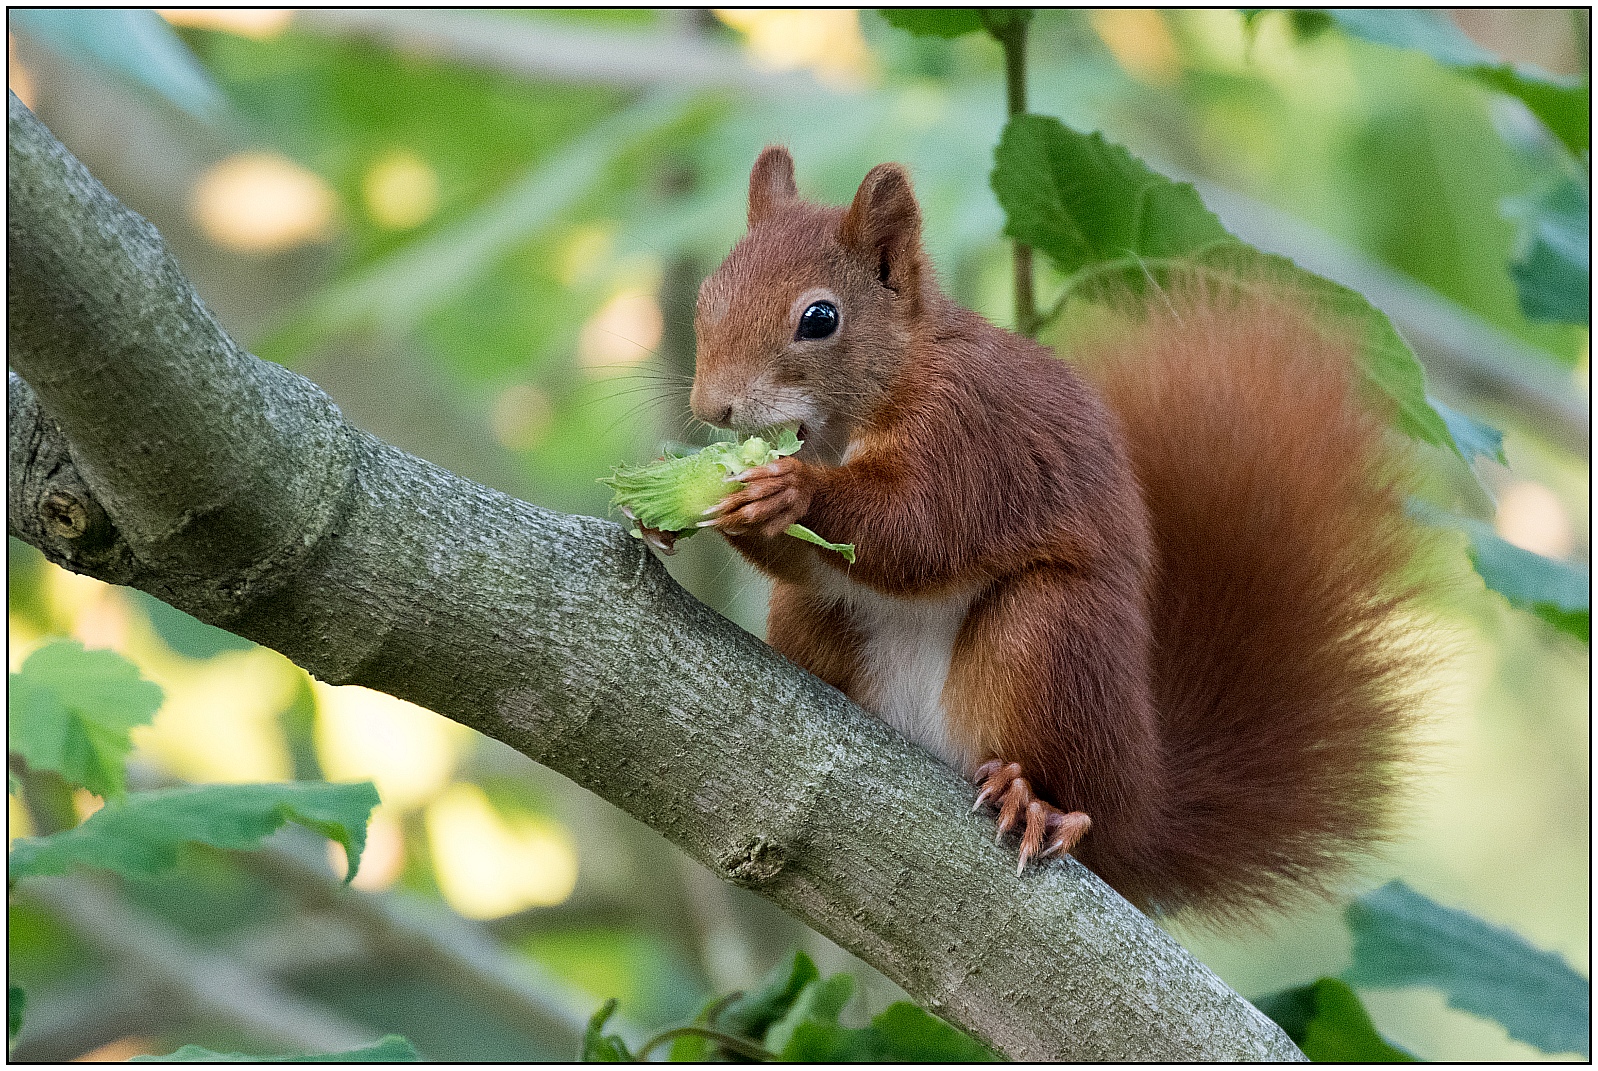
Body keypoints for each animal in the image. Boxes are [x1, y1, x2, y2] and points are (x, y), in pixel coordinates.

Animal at [671, 144, 1425, 920]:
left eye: (820, 317)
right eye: (706, 296)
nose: (712, 406)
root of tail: (1141, 798)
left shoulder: (974, 434)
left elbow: (920, 530)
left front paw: (789, 491)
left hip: (1051, 636)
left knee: (1080, 795)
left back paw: (1035, 801)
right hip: (822, 620)